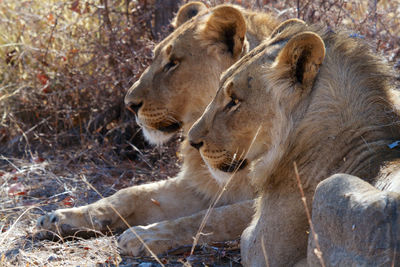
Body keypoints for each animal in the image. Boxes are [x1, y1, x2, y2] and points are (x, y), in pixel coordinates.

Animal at [38, 2, 282, 258]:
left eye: (173, 63)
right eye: (154, 57)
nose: (129, 103)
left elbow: (212, 218)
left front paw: (144, 236)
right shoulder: (199, 186)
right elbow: (130, 193)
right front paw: (60, 218)